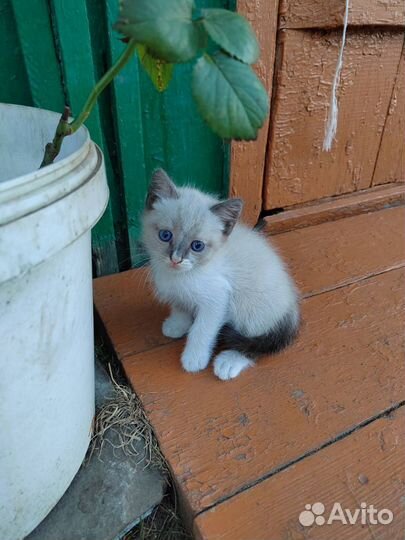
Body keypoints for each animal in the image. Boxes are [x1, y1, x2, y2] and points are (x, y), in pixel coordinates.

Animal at [140, 169, 298, 380]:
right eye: (165, 235)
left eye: (197, 246)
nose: (176, 259)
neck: (180, 276)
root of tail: (292, 305)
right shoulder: (178, 294)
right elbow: (180, 306)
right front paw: (177, 325)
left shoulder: (217, 299)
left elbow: (201, 330)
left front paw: (193, 358)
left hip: (248, 307)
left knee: (256, 342)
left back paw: (229, 362)